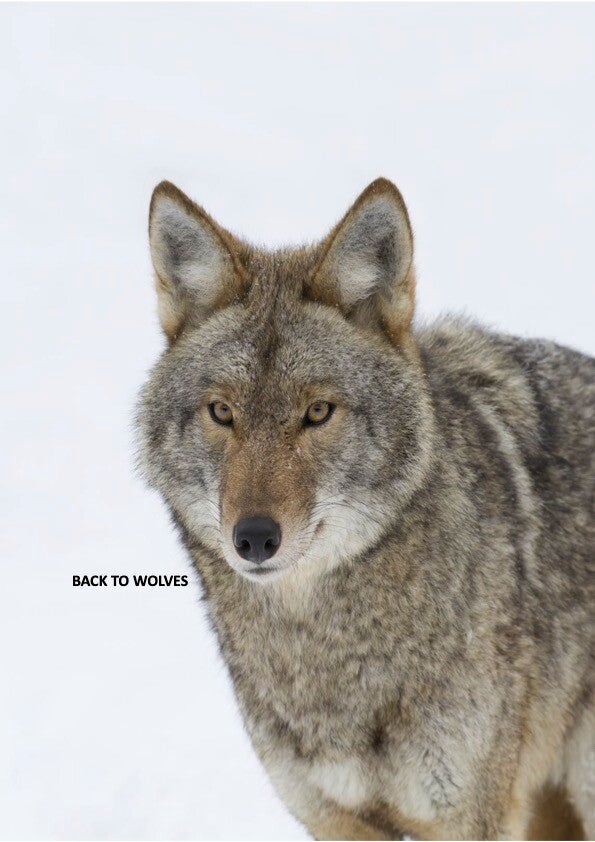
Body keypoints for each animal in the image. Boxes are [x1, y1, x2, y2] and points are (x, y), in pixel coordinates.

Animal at [136, 178, 594, 840]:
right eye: (222, 413)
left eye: (318, 412)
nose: (254, 538)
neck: (325, 656)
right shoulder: (333, 818)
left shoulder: (468, 817)